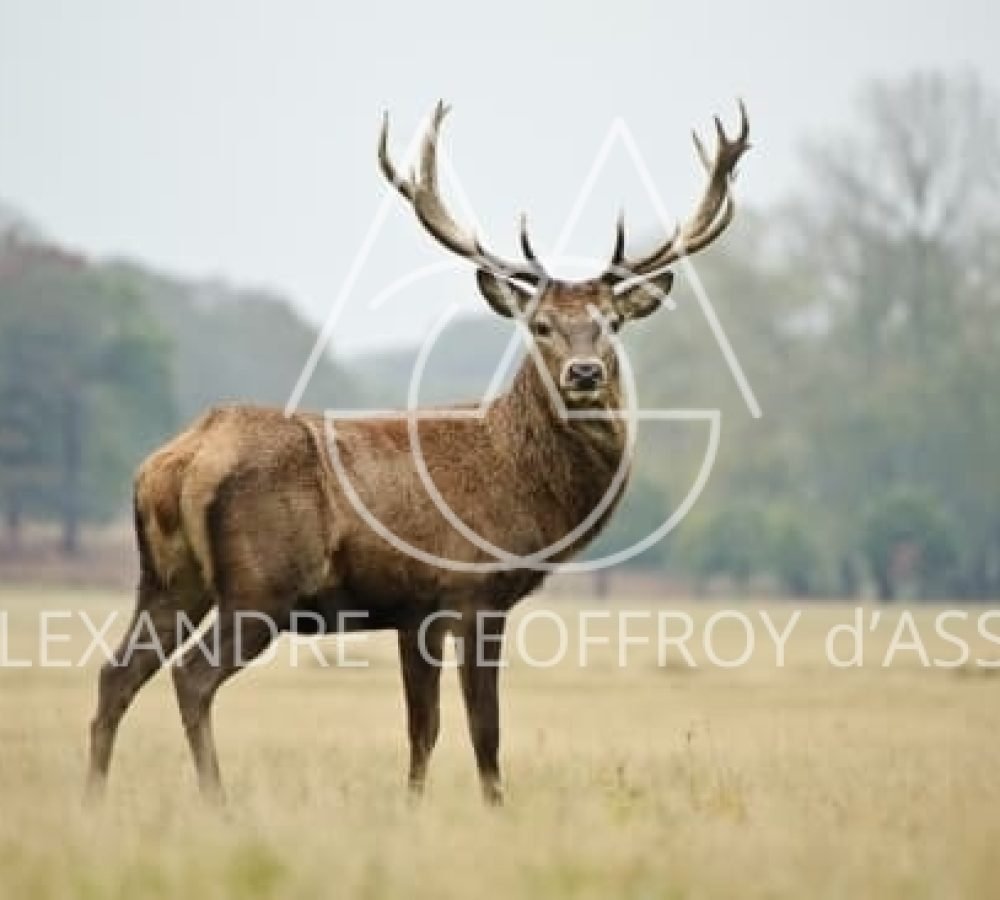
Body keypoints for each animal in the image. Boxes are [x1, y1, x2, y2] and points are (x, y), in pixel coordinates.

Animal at [85, 101, 749, 807]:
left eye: (611, 323)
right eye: (540, 325)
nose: (586, 373)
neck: (523, 488)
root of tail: (175, 462)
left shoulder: (413, 611)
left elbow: (421, 730)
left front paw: (411, 807)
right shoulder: (473, 590)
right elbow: (484, 728)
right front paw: (495, 808)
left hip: (167, 579)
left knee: (116, 674)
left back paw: (94, 798)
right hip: (260, 584)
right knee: (192, 677)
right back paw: (217, 802)